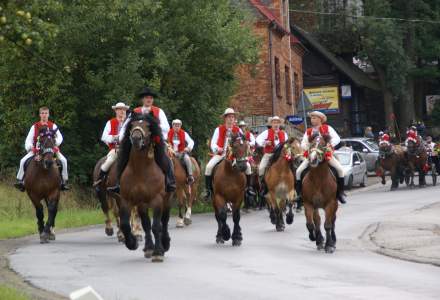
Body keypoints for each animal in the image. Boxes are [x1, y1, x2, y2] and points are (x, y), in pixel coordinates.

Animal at [116, 112, 173, 262]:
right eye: (131, 125)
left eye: (148, 126)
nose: (136, 138)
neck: (140, 170)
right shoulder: (126, 200)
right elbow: (125, 224)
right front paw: (132, 243)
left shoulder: (157, 200)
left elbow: (156, 226)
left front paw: (158, 252)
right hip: (142, 204)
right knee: (146, 224)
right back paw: (148, 248)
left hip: (167, 200)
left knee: (164, 222)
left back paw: (165, 244)